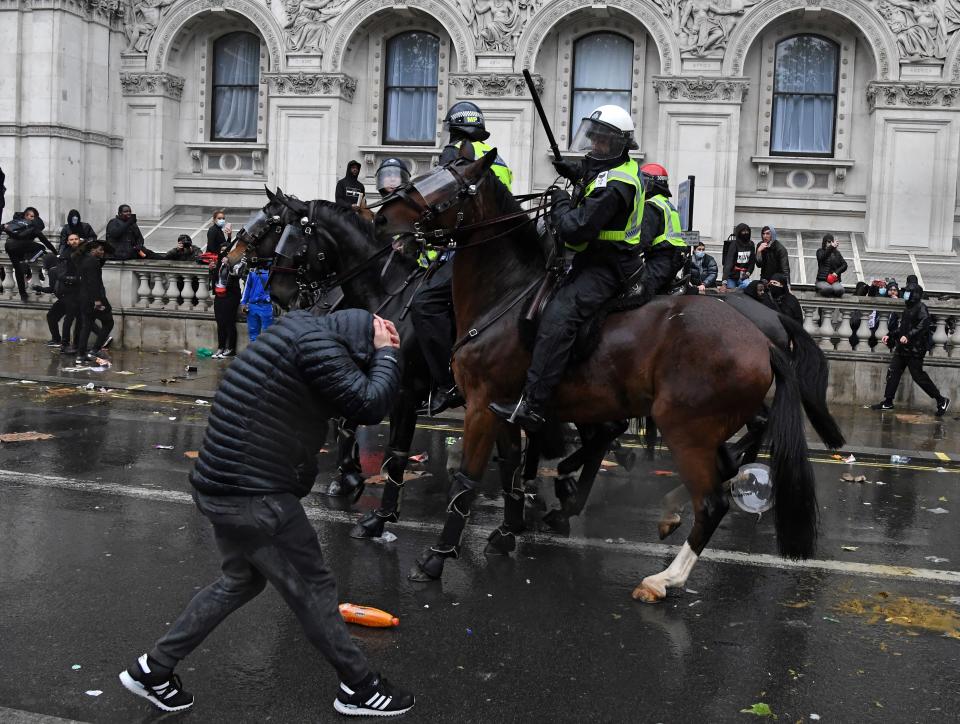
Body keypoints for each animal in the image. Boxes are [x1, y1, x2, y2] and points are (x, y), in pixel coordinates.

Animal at [378, 148, 844, 600]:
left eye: (450, 187)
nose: (384, 215)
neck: (506, 294)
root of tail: (761, 335)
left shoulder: (476, 405)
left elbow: (466, 480)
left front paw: (435, 558)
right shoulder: (499, 407)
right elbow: (509, 469)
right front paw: (507, 531)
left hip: (686, 428)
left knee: (711, 501)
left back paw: (663, 577)